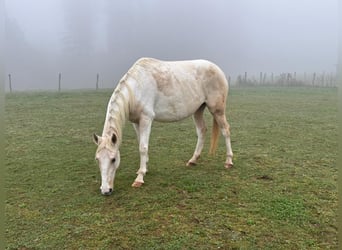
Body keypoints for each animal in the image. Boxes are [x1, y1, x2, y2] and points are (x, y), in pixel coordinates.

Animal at [92, 57, 234, 195]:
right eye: (97, 159)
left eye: (113, 159)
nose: (105, 190)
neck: (137, 88)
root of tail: (217, 69)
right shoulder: (136, 122)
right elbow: (140, 143)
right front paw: (144, 169)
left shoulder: (146, 119)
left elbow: (142, 147)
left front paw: (139, 178)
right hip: (198, 110)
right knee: (202, 131)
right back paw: (193, 160)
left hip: (217, 110)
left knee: (225, 130)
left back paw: (228, 162)